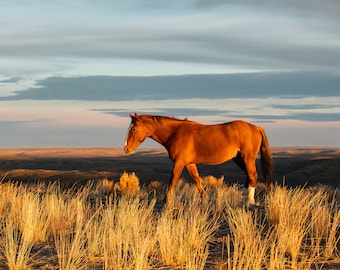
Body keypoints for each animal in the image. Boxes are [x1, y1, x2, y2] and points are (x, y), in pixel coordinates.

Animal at [123, 112, 272, 205]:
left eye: (134, 129)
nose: (126, 149)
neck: (175, 133)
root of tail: (256, 127)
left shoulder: (179, 162)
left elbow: (172, 181)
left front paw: (166, 201)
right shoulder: (189, 163)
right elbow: (197, 180)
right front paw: (204, 199)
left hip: (247, 158)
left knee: (252, 175)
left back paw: (249, 201)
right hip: (239, 159)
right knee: (249, 175)